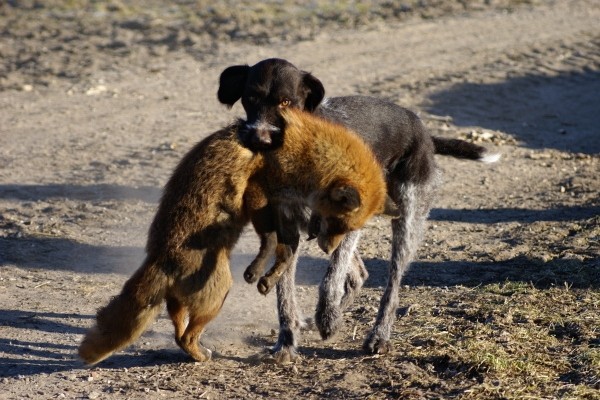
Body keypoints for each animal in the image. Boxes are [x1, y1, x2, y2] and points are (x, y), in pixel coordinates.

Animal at [78, 108, 384, 364]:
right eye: (339, 224)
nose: (327, 249)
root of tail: (160, 259)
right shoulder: (260, 192)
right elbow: (274, 243)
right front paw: (261, 271)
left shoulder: (278, 205)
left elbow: (285, 248)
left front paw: (268, 276)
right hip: (219, 295)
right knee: (186, 337)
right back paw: (202, 356)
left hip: (181, 305)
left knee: (178, 333)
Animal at [218, 57, 500, 360]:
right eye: (250, 98)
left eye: (285, 102)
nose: (260, 139)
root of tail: (424, 132)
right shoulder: (290, 228)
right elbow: (285, 294)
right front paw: (287, 341)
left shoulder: (349, 221)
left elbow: (331, 278)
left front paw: (327, 319)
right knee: (359, 273)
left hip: (407, 220)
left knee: (391, 284)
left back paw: (377, 334)